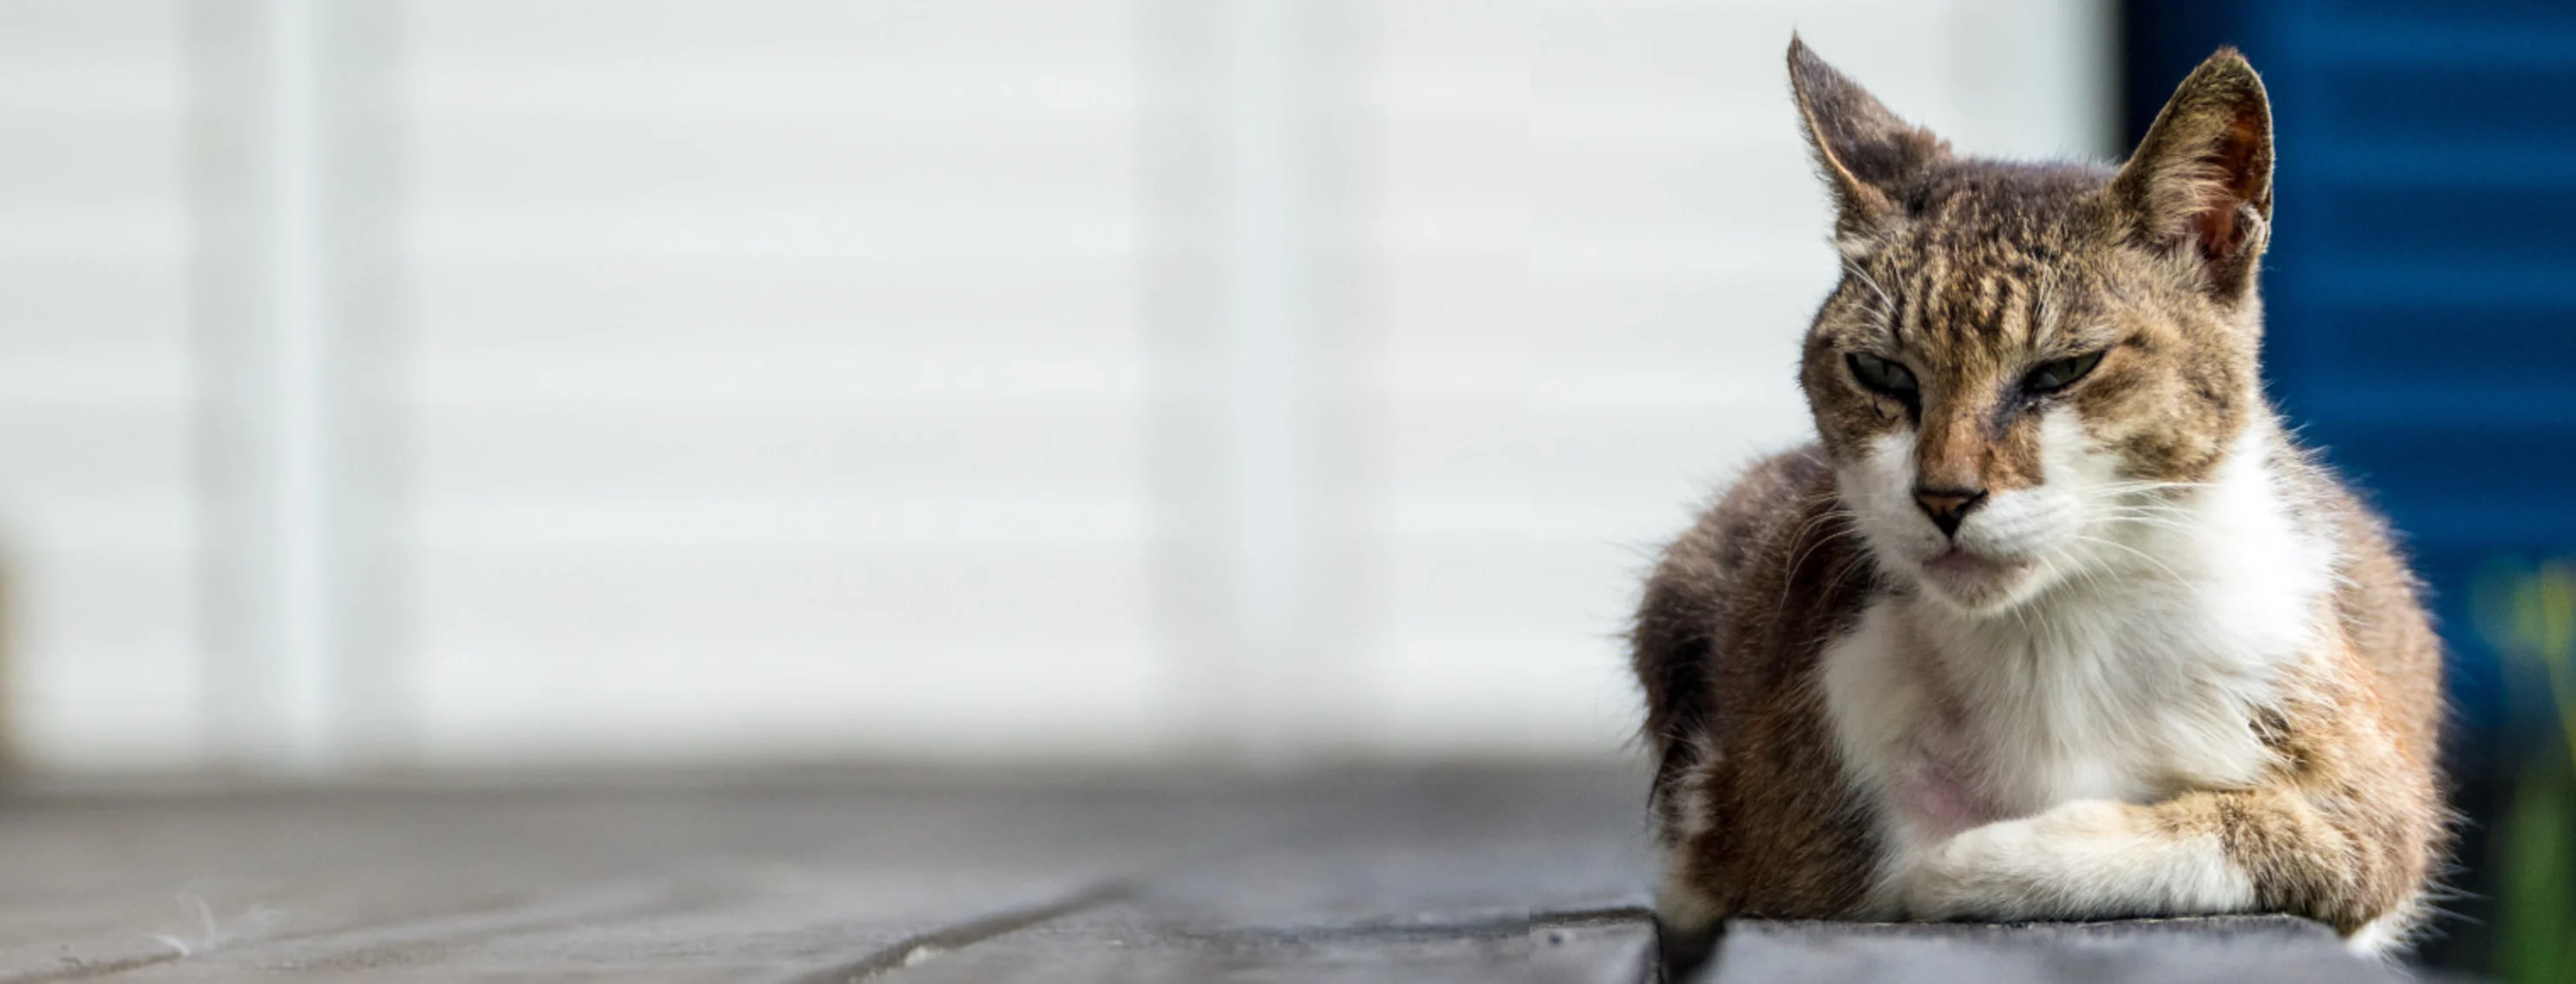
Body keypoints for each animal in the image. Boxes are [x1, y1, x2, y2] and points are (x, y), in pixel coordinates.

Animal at [1638, 40, 2442, 968]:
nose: (1944, 496)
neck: (2052, 630)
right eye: (1881, 372)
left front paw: (1973, 861)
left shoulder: (2375, 810)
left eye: (2063, 370)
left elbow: (2254, 832)